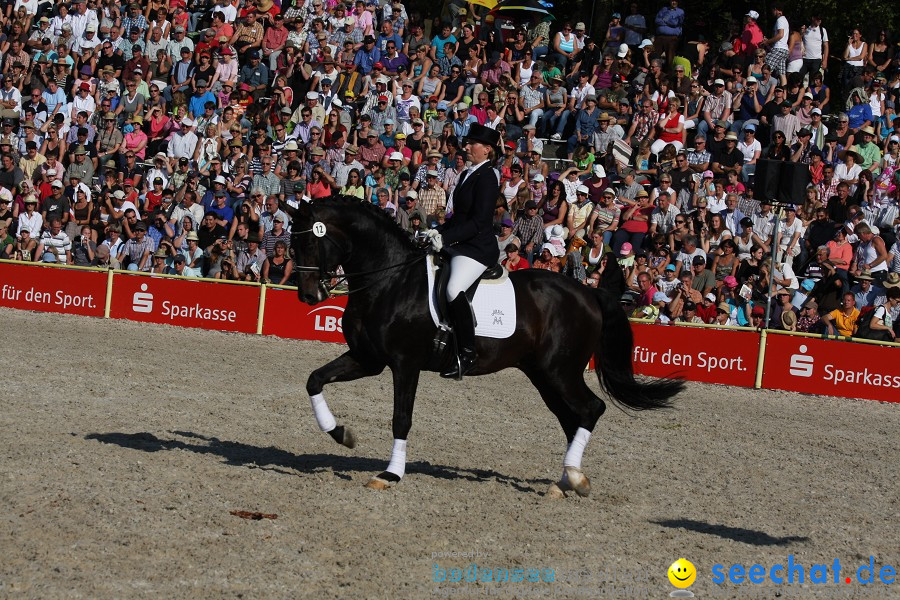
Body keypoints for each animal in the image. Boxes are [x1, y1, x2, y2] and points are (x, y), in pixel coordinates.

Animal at [282, 198, 684, 496]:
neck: (390, 279)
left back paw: (575, 478)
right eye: (293, 243)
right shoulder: (368, 359)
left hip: (560, 371)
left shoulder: (404, 363)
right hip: (544, 374)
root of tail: (589, 293)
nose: (307, 296)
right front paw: (341, 434)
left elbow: (401, 418)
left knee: (590, 409)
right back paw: (566, 481)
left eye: (311, 241)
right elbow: (314, 380)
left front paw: (390, 474)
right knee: (572, 418)